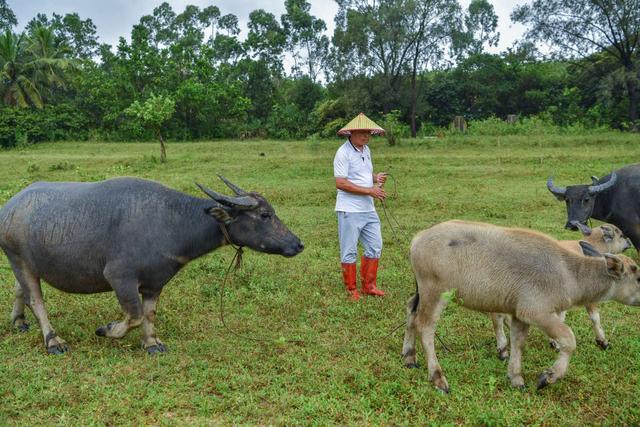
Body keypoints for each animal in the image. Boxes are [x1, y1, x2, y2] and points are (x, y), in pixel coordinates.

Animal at [0, 176, 304, 356]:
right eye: (264, 215)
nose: (297, 244)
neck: (171, 222)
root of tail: (9, 207)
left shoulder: (155, 282)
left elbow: (149, 313)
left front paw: (152, 343)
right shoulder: (119, 277)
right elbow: (133, 314)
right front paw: (107, 330)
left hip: (26, 263)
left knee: (20, 290)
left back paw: (19, 322)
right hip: (18, 258)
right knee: (36, 300)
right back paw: (54, 341)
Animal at [402, 222, 640, 392]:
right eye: (638, 276)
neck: (568, 273)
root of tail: (418, 238)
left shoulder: (519, 315)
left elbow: (518, 343)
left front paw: (516, 378)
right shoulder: (537, 312)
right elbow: (569, 339)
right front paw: (548, 376)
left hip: (420, 292)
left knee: (411, 312)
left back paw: (409, 357)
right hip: (435, 294)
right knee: (426, 327)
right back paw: (437, 377)